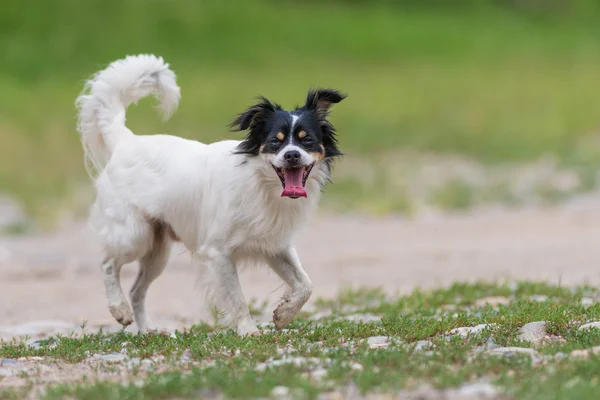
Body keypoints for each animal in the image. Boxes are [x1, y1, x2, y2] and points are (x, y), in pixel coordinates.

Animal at [76, 53, 346, 334]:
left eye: (307, 140)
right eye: (275, 141)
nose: (292, 155)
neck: (262, 184)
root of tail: (126, 140)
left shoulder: (275, 246)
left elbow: (305, 284)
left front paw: (284, 313)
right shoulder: (219, 253)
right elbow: (237, 298)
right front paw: (248, 330)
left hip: (157, 251)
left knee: (136, 289)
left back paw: (147, 329)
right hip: (134, 236)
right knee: (107, 264)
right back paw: (119, 309)